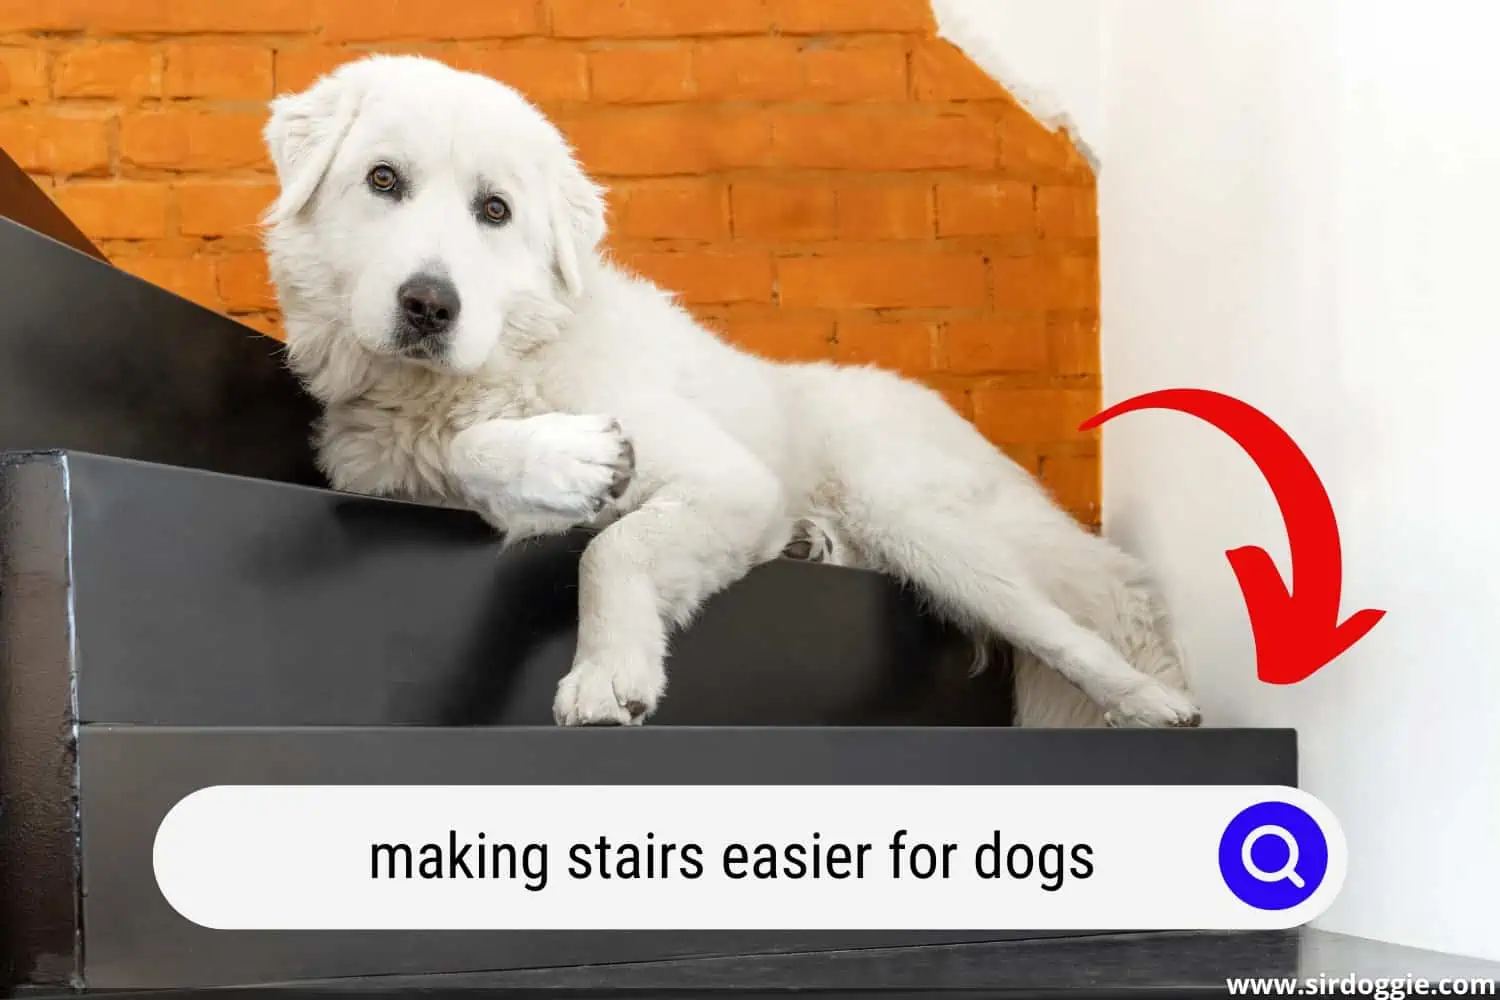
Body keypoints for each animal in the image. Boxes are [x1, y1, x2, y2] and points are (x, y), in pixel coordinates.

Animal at [258, 54, 1194, 728]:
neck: (504, 364)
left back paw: (1155, 701)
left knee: (1078, 622)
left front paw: (607, 672)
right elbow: (485, 462)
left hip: (921, 520)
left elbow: (610, 549)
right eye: (383, 180)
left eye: (495, 210)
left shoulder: (729, 483)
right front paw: (563, 463)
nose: (428, 306)